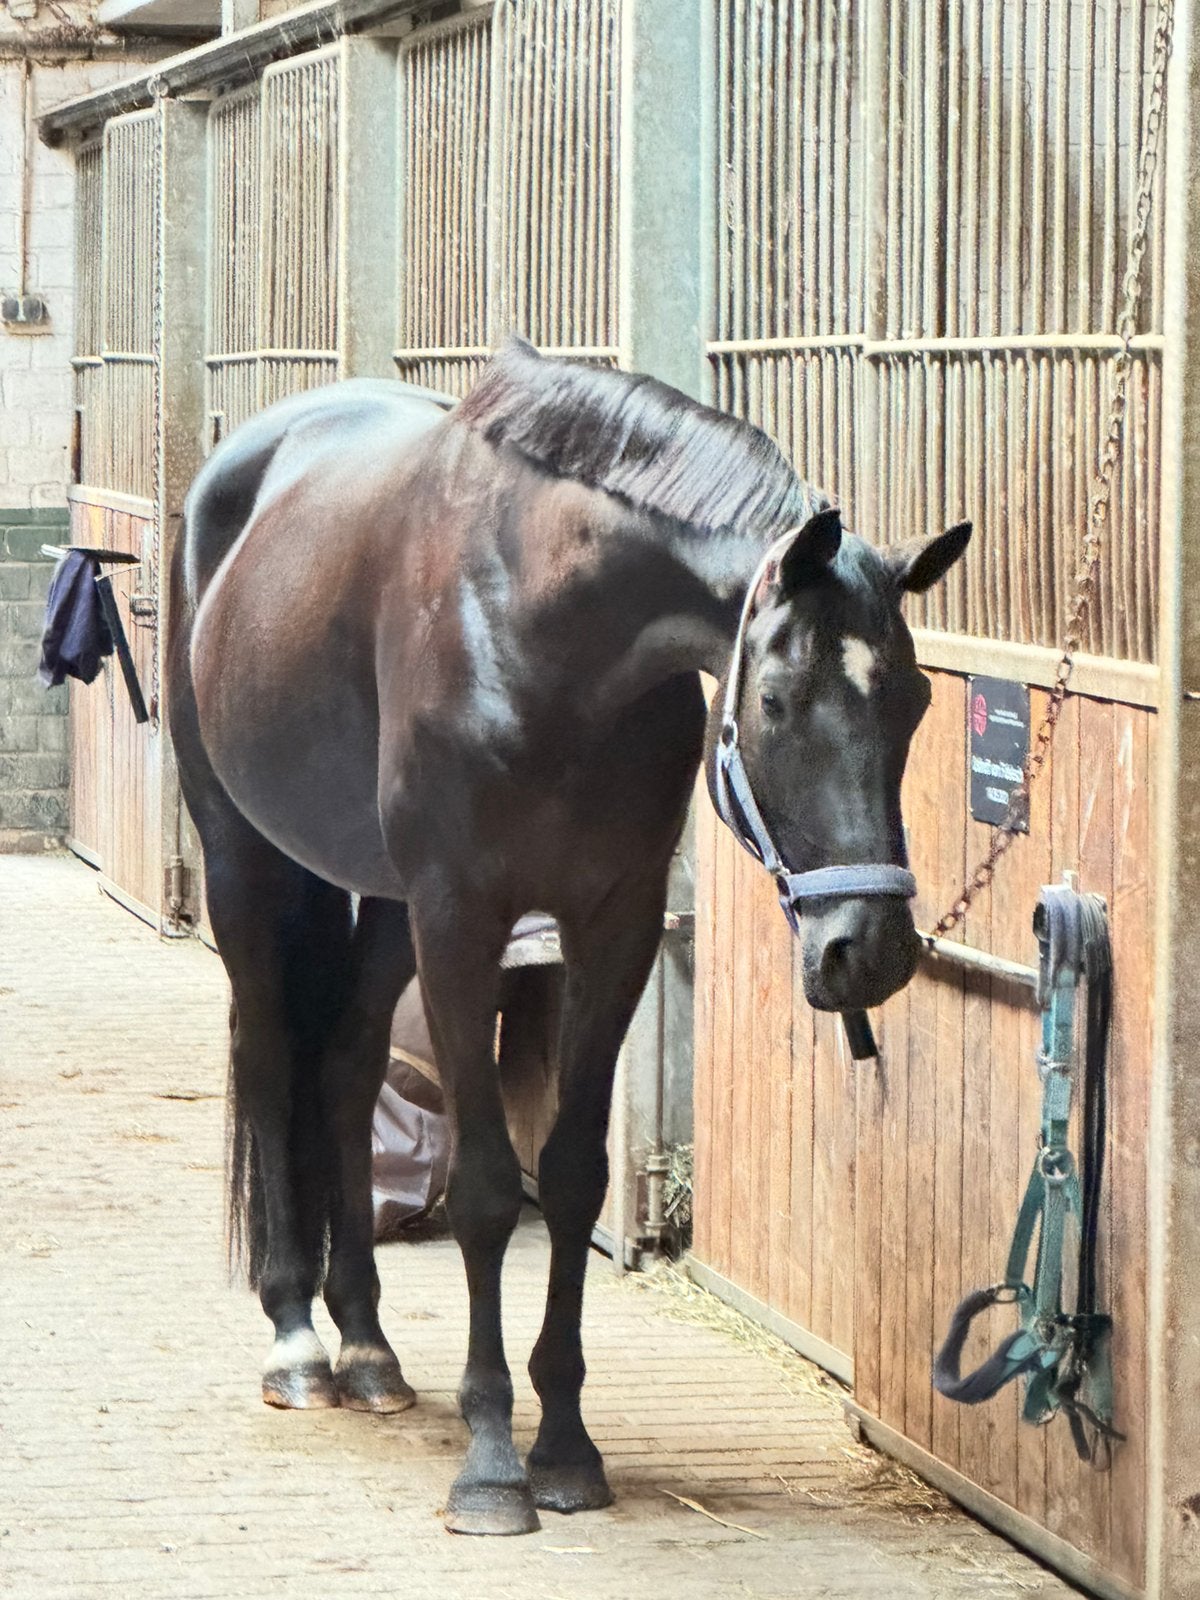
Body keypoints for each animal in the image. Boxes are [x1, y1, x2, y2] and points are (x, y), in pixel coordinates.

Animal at [167, 335, 970, 1536]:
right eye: (776, 700)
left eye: (916, 700)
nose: (866, 950)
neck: (540, 632)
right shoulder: (464, 920)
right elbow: (492, 1186)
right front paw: (495, 1462)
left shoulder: (613, 926)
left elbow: (576, 1174)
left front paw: (566, 1449)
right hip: (246, 860)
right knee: (270, 1060)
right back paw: (299, 1343)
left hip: (384, 903)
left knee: (349, 1069)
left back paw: (367, 1344)